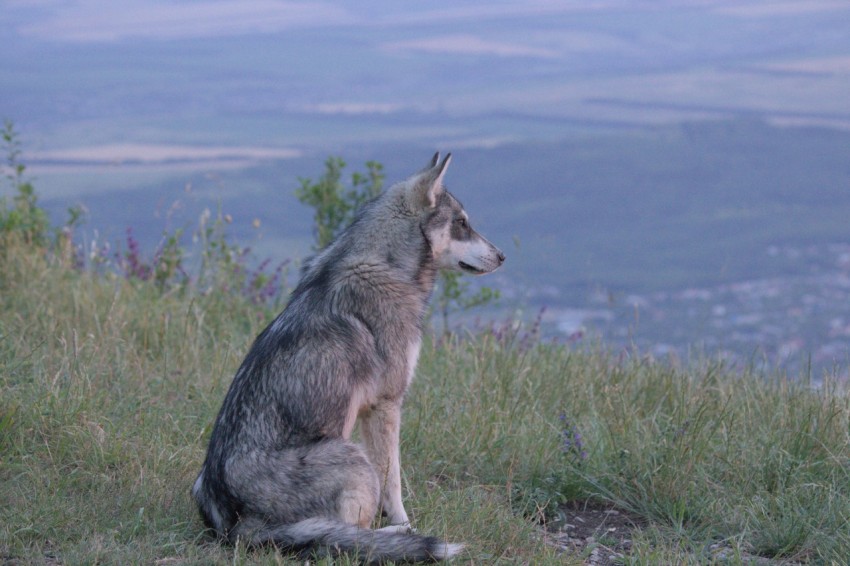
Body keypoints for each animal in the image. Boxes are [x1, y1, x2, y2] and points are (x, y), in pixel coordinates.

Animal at [192, 154, 504, 564]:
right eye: (462, 224)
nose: (502, 256)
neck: (385, 264)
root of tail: (236, 528)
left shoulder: (374, 411)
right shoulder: (386, 406)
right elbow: (394, 483)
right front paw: (406, 524)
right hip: (354, 459)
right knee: (345, 536)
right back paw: (396, 536)